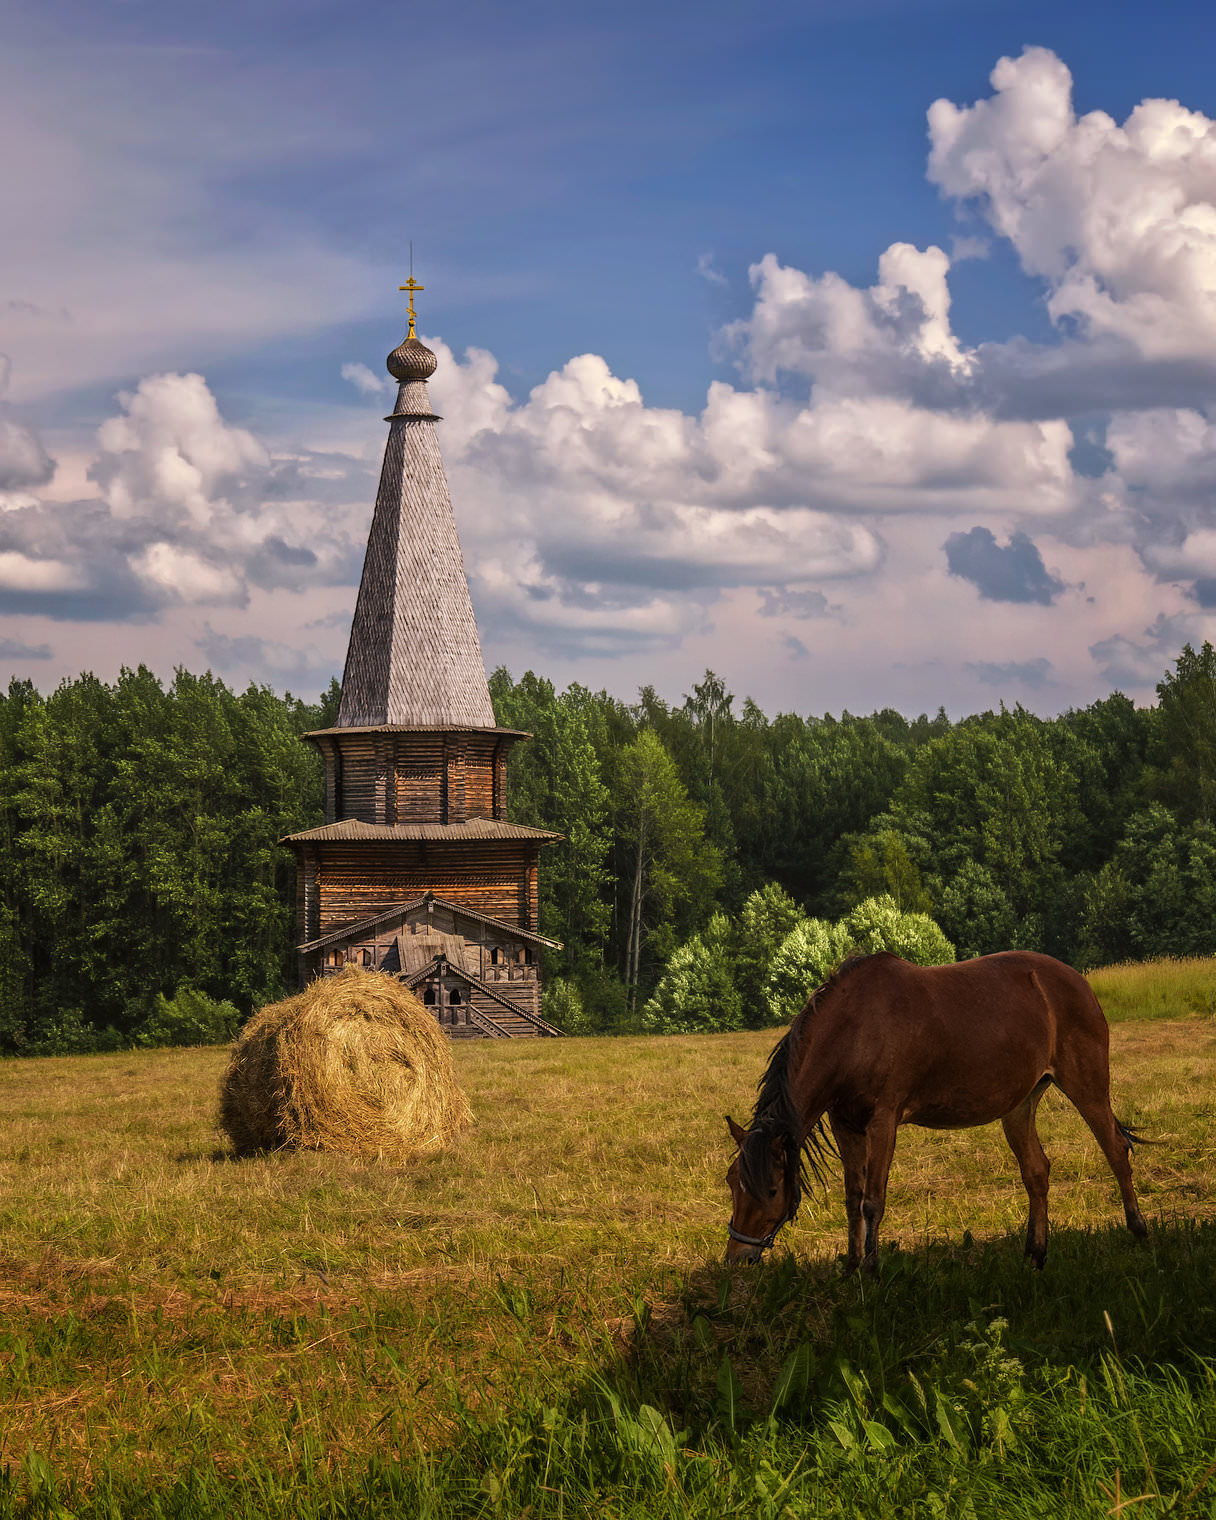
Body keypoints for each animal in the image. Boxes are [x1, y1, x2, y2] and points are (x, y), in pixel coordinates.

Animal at [726, 948, 1155, 1270]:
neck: (855, 1029)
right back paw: (1035, 1255)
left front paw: (872, 1270)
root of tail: (1076, 981)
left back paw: (1139, 1232)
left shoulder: (883, 1121)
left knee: (1115, 1149)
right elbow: (852, 1199)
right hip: (1019, 1106)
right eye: (732, 1182)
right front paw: (850, 1268)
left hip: (1087, 1086)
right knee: (1037, 1172)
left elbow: (872, 1201)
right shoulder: (844, 1124)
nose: (737, 1256)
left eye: (771, 1188)